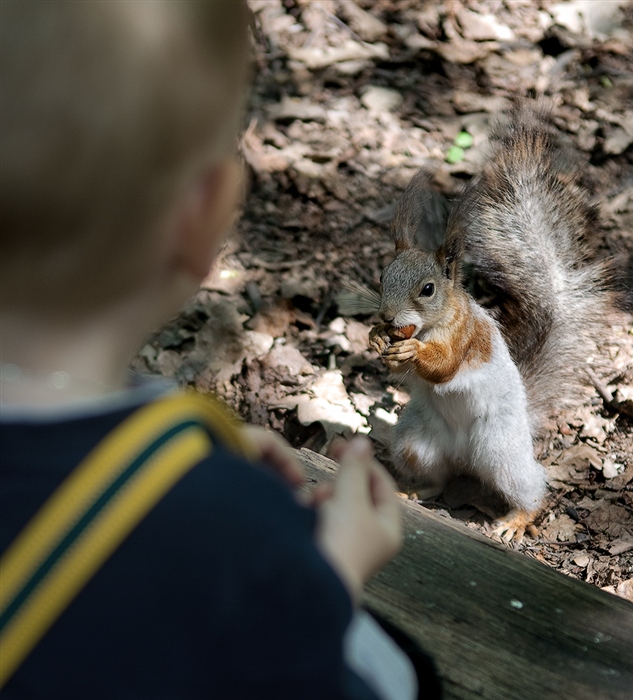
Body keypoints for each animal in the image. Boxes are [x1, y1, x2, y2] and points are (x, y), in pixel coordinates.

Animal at [358, 109, 608, 540]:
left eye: (427, 289)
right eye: (382, 276)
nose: (387, 317)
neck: (432, 324)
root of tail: (464, 456)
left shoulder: (465, 337)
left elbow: (445, 367)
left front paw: (414, 351)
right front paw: (375, 338)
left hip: (502, 450)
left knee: (530, 488)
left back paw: (516, 520)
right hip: (416, 443)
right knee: (438, 478)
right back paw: (416, 491)